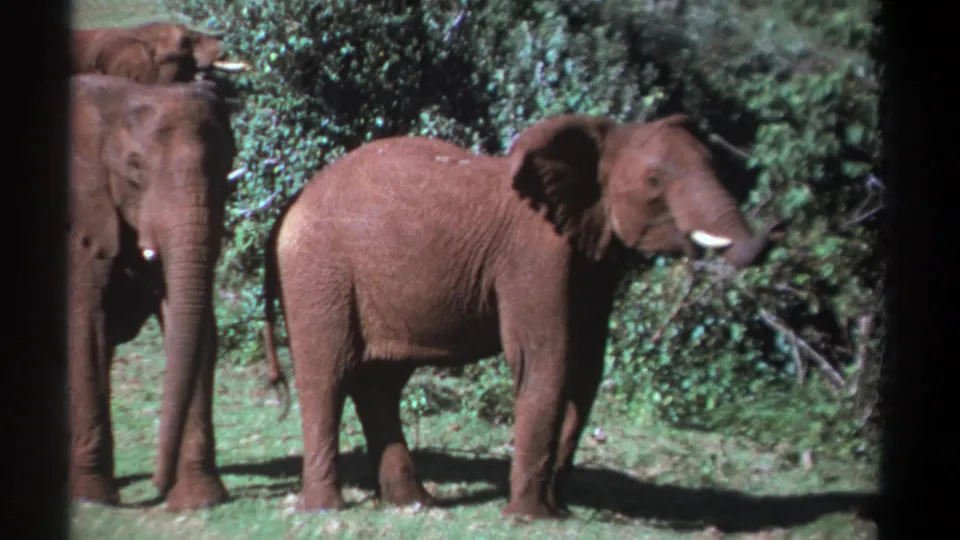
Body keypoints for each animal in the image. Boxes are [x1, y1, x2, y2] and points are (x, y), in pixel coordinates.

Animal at [68, 74, 238, 512]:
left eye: (224, 163)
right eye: (134, 167)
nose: (156, 487)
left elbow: (190, 323)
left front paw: (199, 500)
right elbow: (85, 325)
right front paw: (93, 498)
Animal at [259, 113, 783, 519]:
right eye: (655, 182)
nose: (775, 232)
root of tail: (291, 205)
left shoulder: (591, 263)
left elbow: (585, 370)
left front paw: (557, 510)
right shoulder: (536, 256)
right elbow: (545, 359)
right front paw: (530, 518)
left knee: (381, 384)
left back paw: (415, 504)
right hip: (319, 272)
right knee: (327, 376)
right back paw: (326, 510)